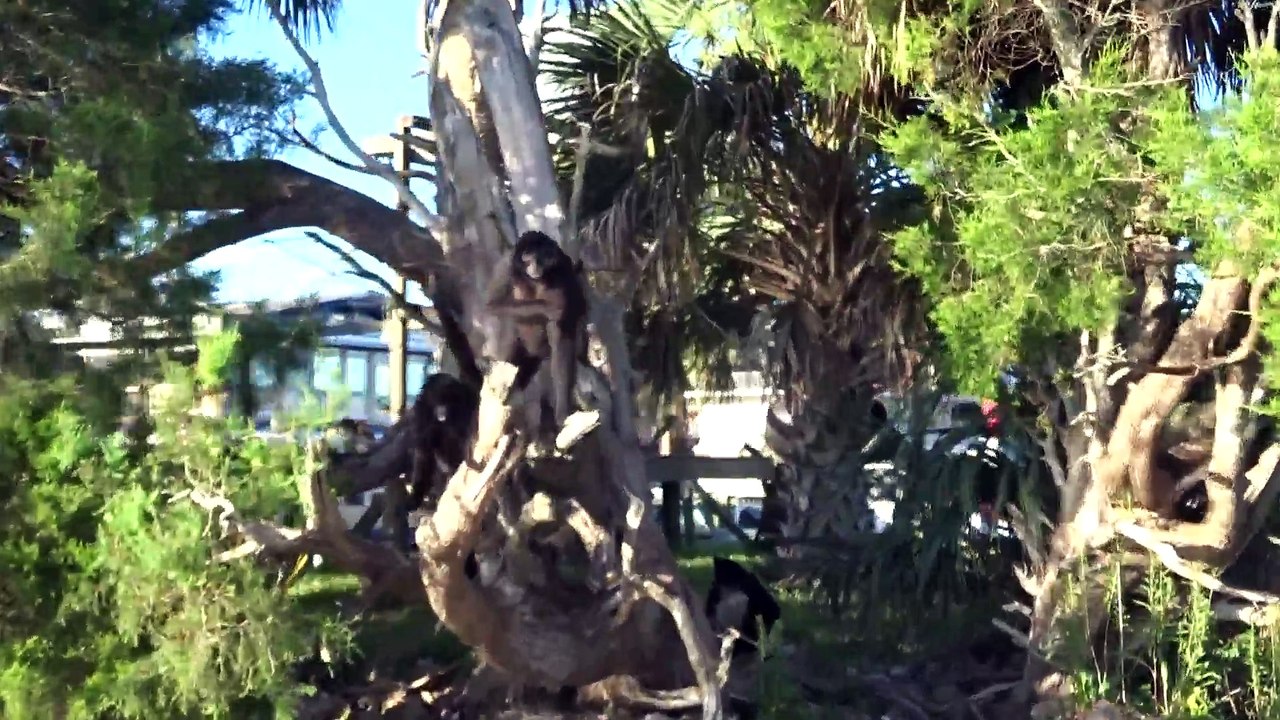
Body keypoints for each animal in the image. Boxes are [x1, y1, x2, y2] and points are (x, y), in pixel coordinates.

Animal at [485, 230, 588, 435]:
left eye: (540, 257)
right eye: (527, 257)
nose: (534, 265)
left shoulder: (563, 263)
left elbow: (574, 309)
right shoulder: (506, 263)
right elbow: (491, 305)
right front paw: (548, 307)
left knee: (557, 331)